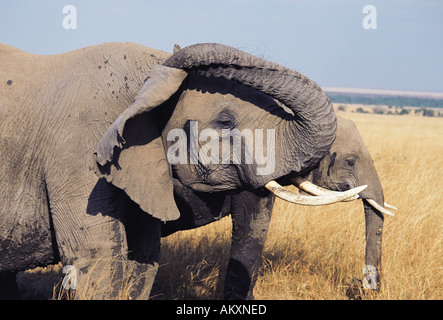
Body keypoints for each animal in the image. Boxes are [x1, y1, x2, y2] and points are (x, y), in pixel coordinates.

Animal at [0, 40, 390, 300]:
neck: (144, 82)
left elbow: (143, 261)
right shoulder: (78, 154)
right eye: (225, 121)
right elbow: (99, 265)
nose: (366, 285)